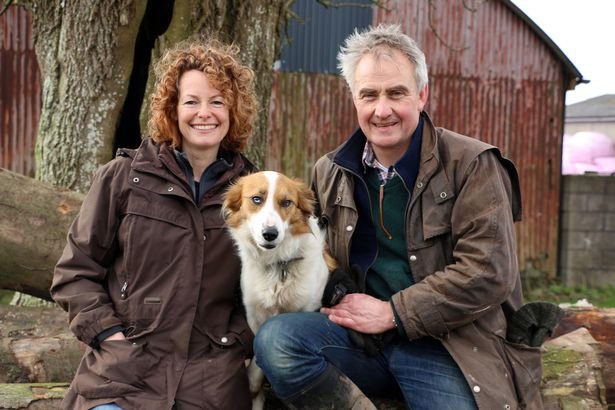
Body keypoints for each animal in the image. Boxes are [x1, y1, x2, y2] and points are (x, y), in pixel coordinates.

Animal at [223, 171, 336, 410]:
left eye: (286, 203)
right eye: (257, 199)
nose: (270, 234)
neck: (278, 264)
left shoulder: (307, 308)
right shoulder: (255, 315)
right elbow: (255, 360)